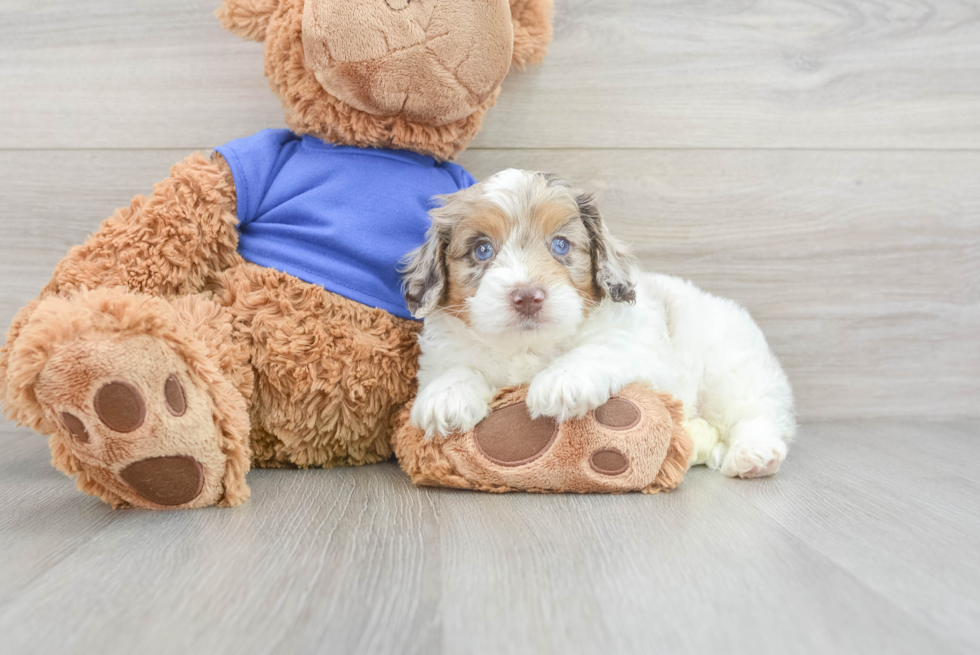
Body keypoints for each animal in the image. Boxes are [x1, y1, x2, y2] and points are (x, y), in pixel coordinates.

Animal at [402, 169, 792, 476]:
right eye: (482, 250)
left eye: (560, 245)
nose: (527, 296)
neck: (529, 345)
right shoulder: (444, 352)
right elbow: (457, 367)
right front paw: (446, 396)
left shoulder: (639, 349)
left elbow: (597, 349)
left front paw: (561, 382)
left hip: (731, 369)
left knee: (757, 411)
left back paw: (754, 455)